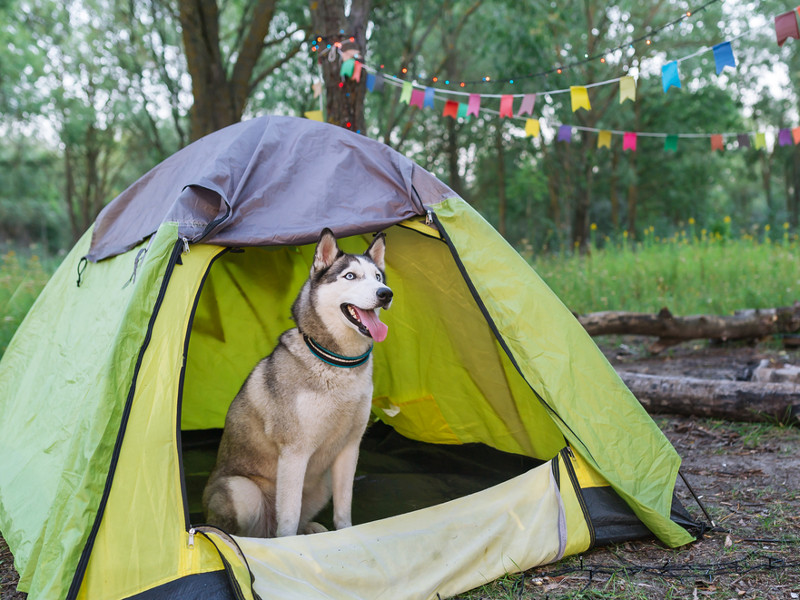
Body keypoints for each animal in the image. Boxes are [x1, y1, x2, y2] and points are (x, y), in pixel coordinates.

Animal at [202, 230, 392, 540]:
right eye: (350, 276)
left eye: (378, 277)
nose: (385, 293)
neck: (340, 363)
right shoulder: (295, 452)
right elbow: (289, 519)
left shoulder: (350, 448)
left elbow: (344, 512)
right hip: (243, 491)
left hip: (321, 484)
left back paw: (313, 528)